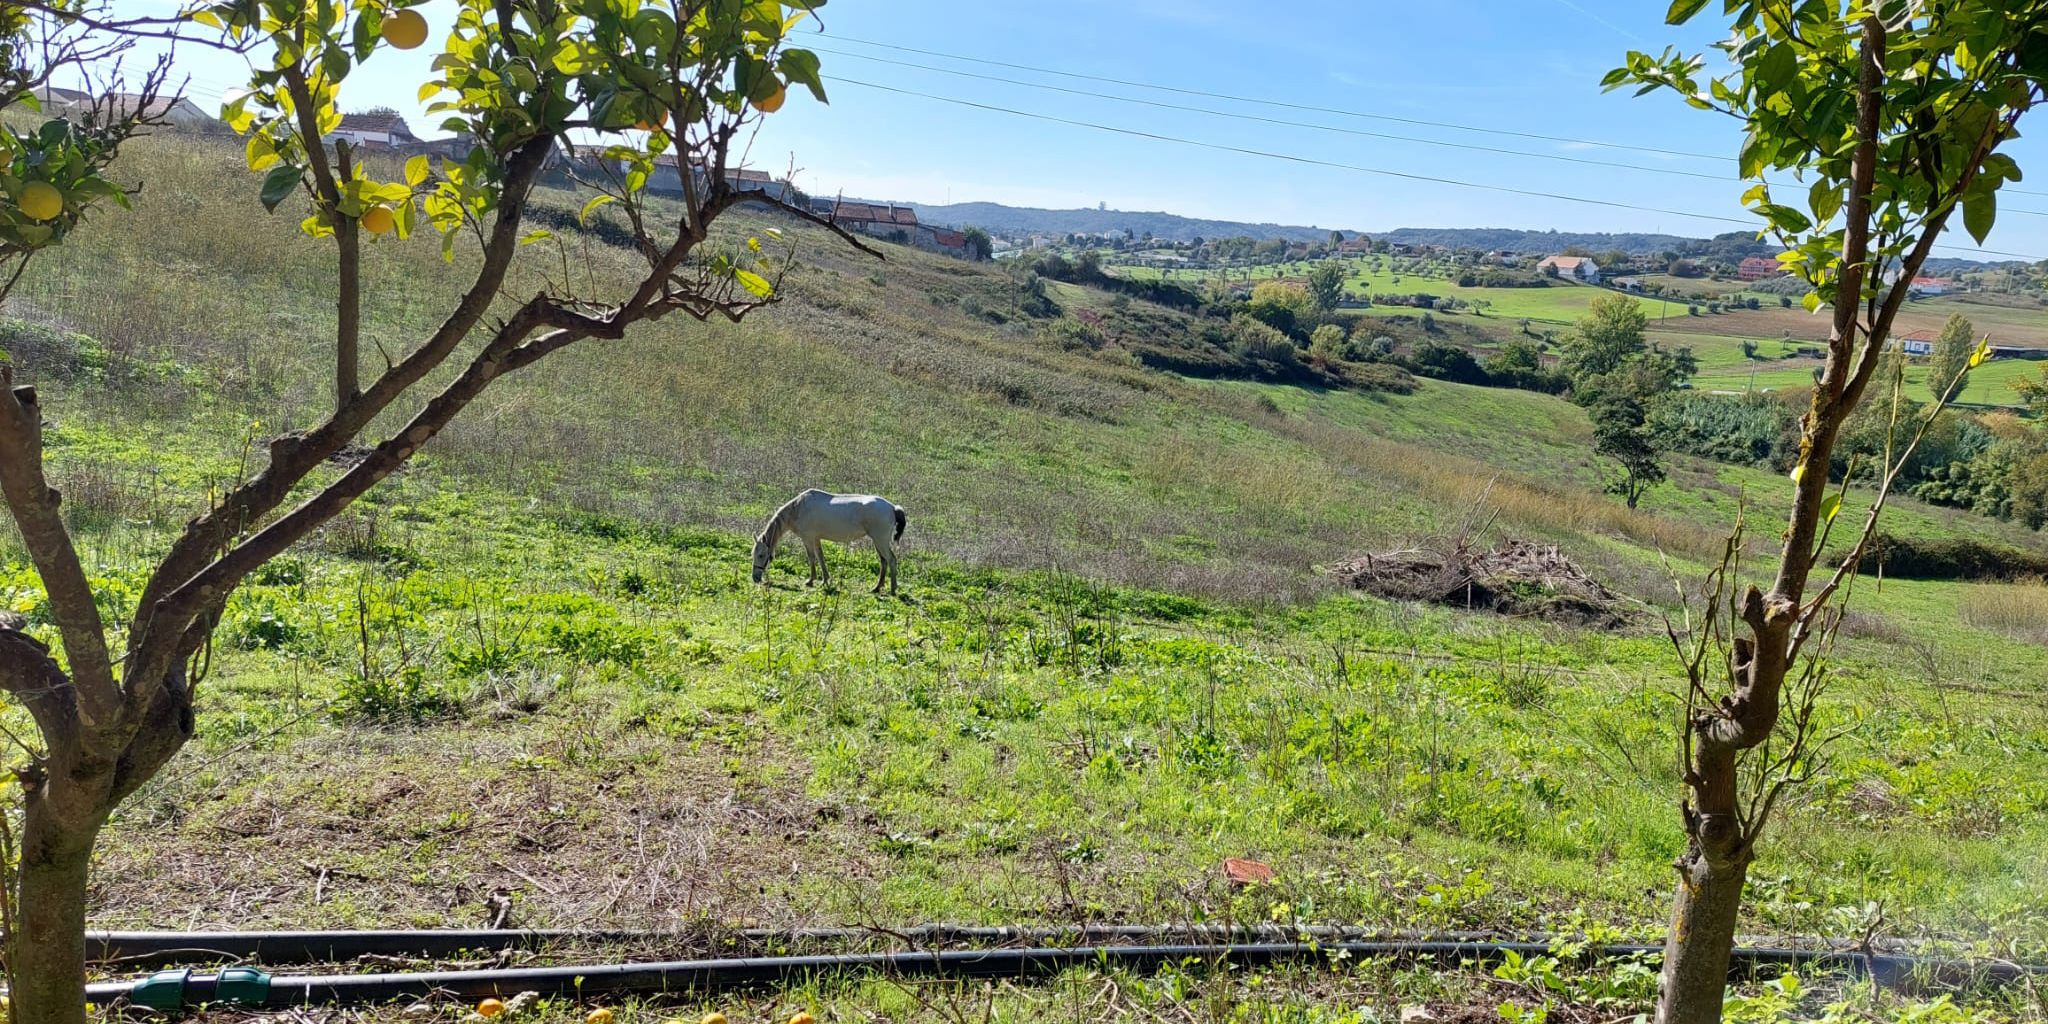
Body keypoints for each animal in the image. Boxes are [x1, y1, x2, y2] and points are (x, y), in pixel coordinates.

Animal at [751, 489, 906, 593]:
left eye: (761, 555)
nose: (755, 578)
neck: (798, 508)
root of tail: (893, 508)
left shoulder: (808, 538)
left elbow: (812, 558)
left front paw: (811, 580)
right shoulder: (816, 538)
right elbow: (821, 558)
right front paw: (825, 580)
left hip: (880, 540)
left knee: (891, 560)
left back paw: (893, 589)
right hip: (877, 541)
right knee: (883, 561)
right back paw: (877, 587)